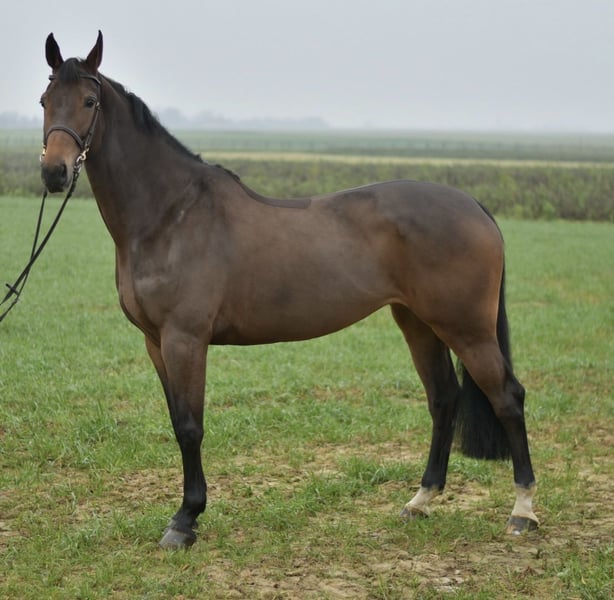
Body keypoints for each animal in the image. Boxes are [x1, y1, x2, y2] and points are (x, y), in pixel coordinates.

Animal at [38, 31, 538, 549]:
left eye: (90, 101)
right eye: (44, 100)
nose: (54, 172)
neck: (170, 214)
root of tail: (474, 206)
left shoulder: (185, 339)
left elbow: (191, 427)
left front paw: (186, 519)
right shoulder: (155, 342)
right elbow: (178, 421)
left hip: (466, 327)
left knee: (508, 397)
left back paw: (522, 510)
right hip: (418, 322)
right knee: (443, 399)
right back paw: (420, 501)